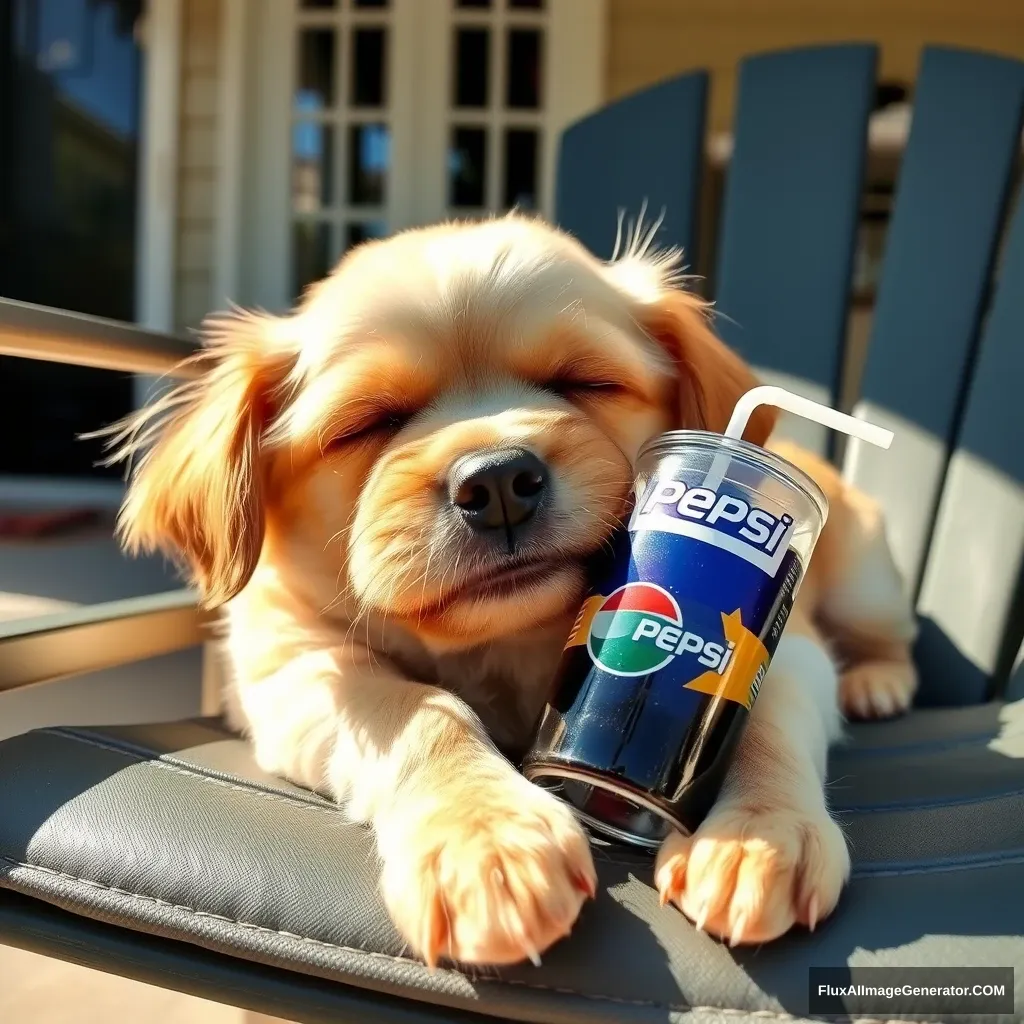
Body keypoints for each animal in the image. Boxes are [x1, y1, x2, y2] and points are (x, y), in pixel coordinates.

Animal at [108, 211, 917, 962]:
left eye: (584, 381)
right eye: (368, 423)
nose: (496, 479)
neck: (507, 642)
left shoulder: (789, 648)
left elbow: (764, 714)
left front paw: (760, 833)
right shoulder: (291, 673)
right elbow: (420, 706)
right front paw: (483, 836)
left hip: (865, 582)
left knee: (889, 639)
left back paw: (877, 682)